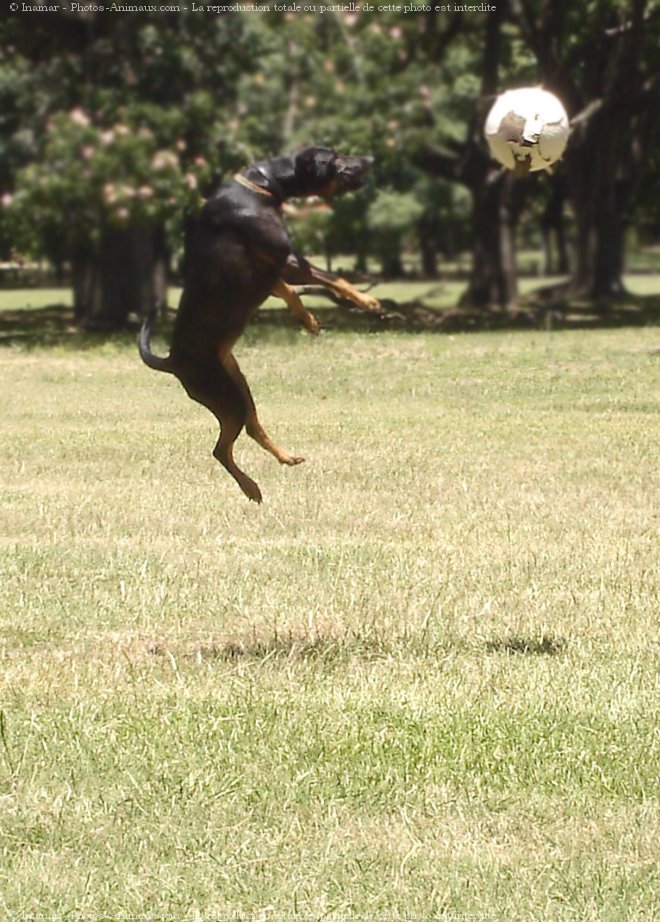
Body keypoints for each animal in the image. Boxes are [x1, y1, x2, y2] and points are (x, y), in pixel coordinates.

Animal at [139, 146, 382, 504]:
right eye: (335, 158)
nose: (370, 159)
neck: (264, 186)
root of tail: (170, 360)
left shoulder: (276, 272)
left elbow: (297, 290)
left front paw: (317, 315)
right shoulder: (287, 260)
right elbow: (329, 279)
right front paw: (364, 301)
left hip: (238, 387)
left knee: (251, 428)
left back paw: (286, 458)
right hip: (225, 396)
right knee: (221, 449)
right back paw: (250, 487)